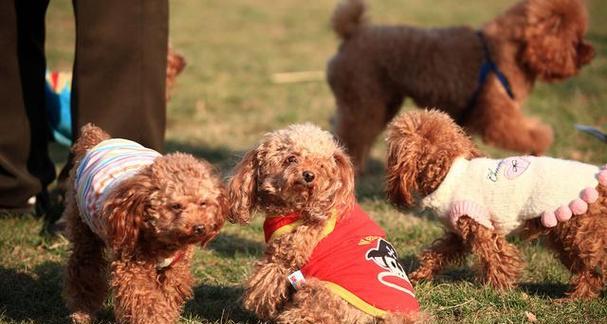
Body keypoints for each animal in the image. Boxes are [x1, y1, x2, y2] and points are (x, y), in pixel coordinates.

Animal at [63, 123, 227, 322]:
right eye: (175, 206)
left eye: (203, 203)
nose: (199, 228)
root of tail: (98, 140)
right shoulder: (132, 270)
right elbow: (145, 304)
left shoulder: (175, 269)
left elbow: (168, 296)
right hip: (83, 228)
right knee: (84, 269)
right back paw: (81, 312)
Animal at [228, 124, 422, 324]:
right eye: (291, 159)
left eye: (320, 165)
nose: (309, 175)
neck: (301, 204)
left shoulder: (285, 255)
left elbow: (267, 282)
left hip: (319, 291)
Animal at [330, 0, 596, 172]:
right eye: (575, 39)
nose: (591, 53)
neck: (506, 51)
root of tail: (351, 32)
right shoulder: (497, 116)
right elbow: (530, 133)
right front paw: (540, 143)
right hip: (364, 96)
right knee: (353, 133)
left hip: (381, 100)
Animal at [388, 110, 604, 300]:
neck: (447, 172)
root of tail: (599, 179)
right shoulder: (459, 234)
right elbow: (437, 253)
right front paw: (418, 276)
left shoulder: (481, 227)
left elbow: (497, 258)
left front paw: (497, 290)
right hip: (565, 236)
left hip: (580, 234)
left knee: (594, 267)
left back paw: (576, 298)